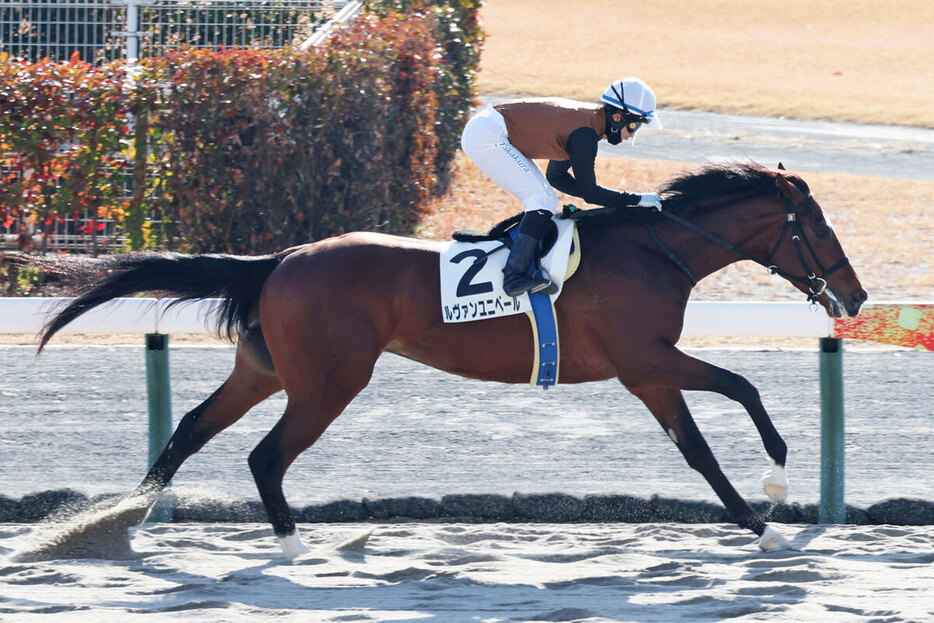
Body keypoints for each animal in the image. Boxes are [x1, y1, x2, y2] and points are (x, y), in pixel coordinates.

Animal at [7, 161, 872, 556]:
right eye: (817, 228)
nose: (856, 295)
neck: (657, 250)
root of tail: (281, 257)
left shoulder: (649, 374)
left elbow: (697, 449)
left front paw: (760, 523)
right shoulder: (648, 360)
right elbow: (743, 387)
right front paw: (777, 482)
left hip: (265, 369)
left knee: (190, 426)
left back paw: (113, 520)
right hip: (328, 381)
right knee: (264, 456)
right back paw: (291, 544)